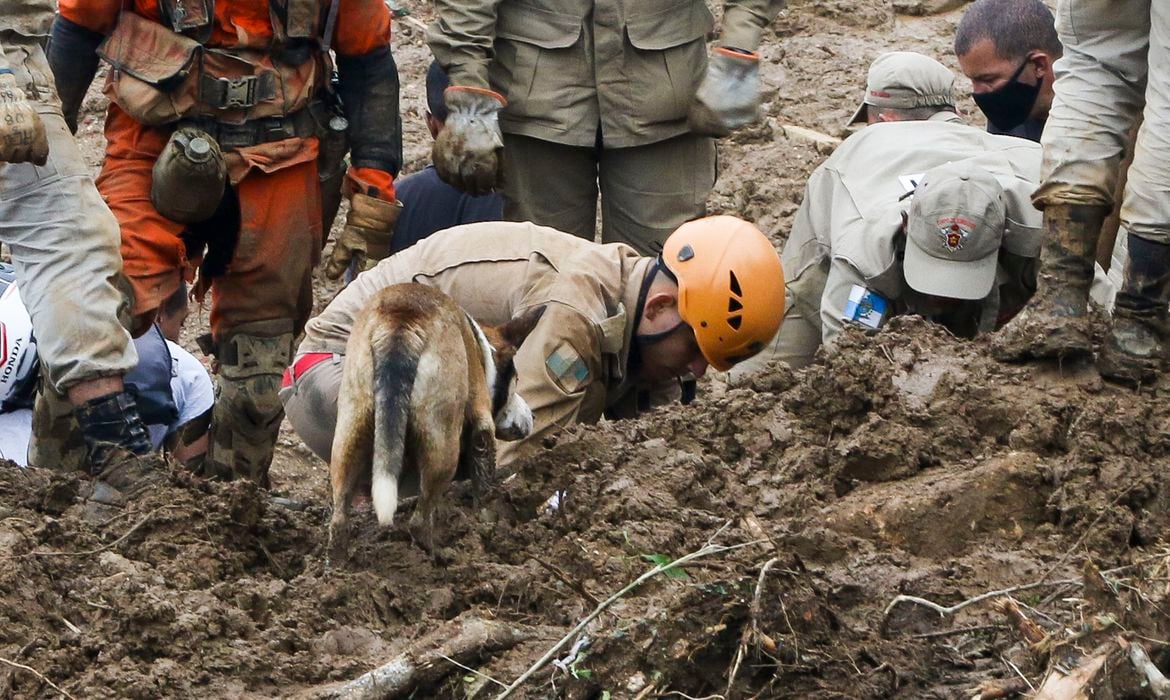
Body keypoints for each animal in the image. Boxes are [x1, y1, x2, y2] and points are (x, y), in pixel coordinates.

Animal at [327, 282, 540, 561]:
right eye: (516, 382)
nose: (532, 416)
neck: (482, 351)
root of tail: (402, 322)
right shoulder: (482, 425)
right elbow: (483, 478)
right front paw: (485, 519)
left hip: (351, 428)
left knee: (339, 518)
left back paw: (336, 566)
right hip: (443, 446)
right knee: (418, 521)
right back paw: (438, 555)